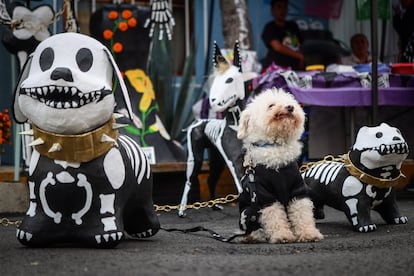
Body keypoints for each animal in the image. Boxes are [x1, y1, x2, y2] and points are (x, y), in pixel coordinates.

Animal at [236, 88, 324, 244]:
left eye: (289, 102)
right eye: (271, 105)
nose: (290, 107)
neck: (276, 146)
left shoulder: (298, 190)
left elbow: (302, 214)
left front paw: (309, 233)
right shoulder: (265, 195)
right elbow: (274, 217)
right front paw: (282, 236)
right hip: (247, 213)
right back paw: (253, 237)